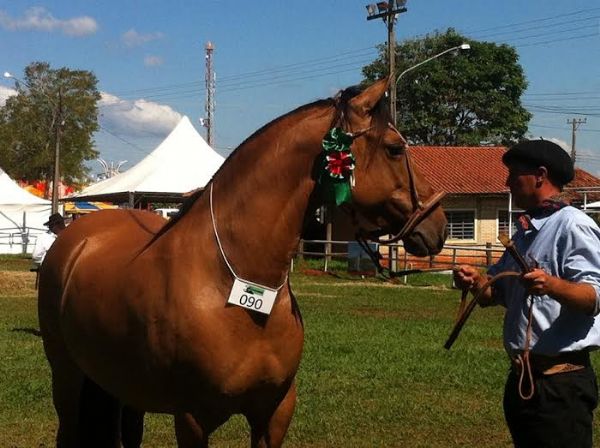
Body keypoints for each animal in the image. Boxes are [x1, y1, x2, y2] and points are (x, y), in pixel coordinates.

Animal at [37, 78, 448, 448]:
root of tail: (77, 238)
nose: (439, 225)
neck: (236, 284)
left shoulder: (274, 413)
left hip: (123, 386)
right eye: (395, 149)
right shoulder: (193, 420)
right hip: (67, 375)